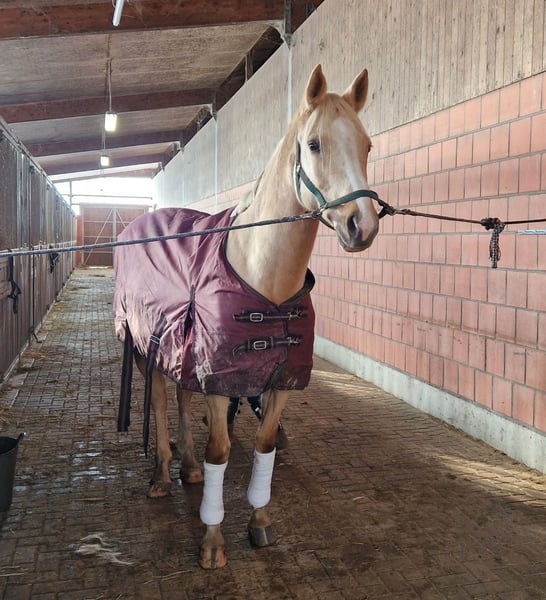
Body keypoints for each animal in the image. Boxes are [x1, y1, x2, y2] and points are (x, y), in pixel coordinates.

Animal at [113, 64, 379, 569]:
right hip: (150, 348)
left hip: (184, 353)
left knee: (182, 398)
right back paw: (161, 475)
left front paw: (258, 521)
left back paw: (189, 468)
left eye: (367, 144)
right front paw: (213, 539)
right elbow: (221, 449)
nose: (363, 226)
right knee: (159, 401)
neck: (265, 282)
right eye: (314, 144)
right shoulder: (223, 381)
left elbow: (264, 445)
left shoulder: (278, 382)